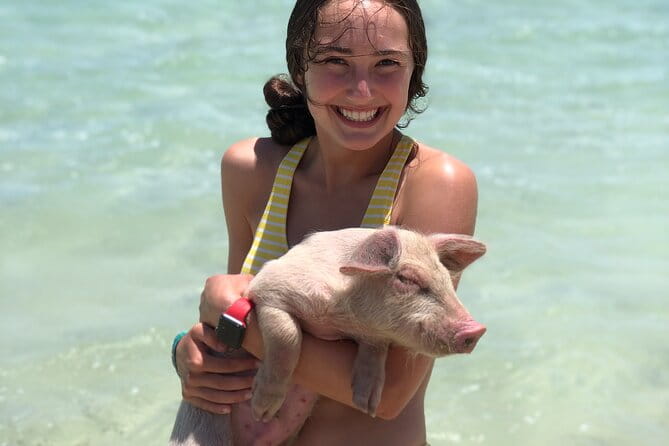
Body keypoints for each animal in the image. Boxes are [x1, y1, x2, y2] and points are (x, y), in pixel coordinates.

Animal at [170, 226, 486, 446]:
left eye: (445, 278)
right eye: (406, 278)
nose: (476, 329)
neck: (343, 316)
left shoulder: (371, 335)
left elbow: (376, 348)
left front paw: (367, 403)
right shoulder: (267, 290)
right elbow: (288, 337)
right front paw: (263, 408)